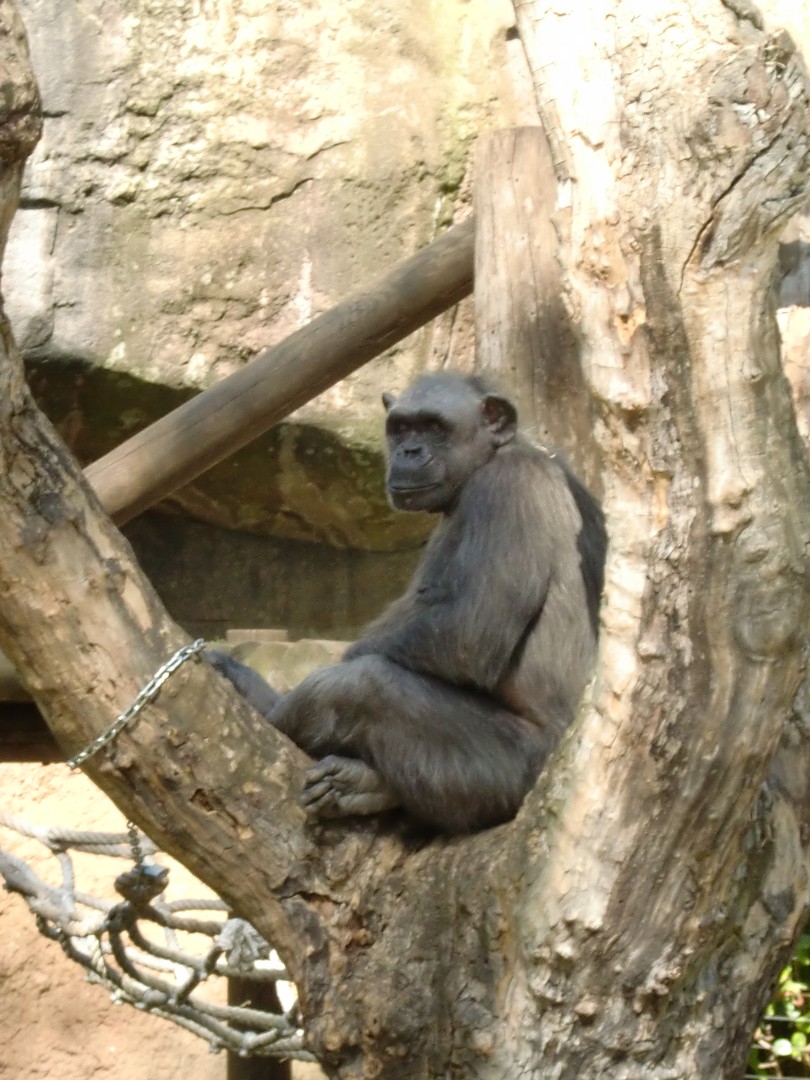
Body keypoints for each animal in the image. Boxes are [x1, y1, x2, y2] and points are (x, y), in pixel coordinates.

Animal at [210, 371, 609, 833]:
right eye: (401, 428)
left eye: (435, 427)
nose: (410, 450)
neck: (489, 459)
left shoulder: (509, 489)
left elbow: (465, 632)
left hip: (510, 771)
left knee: (360, 686)